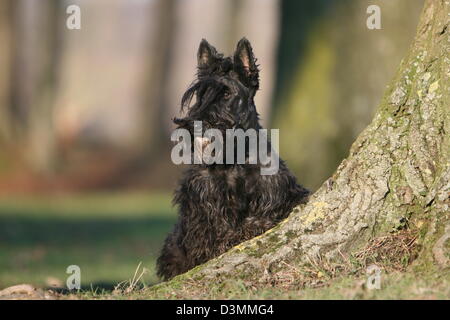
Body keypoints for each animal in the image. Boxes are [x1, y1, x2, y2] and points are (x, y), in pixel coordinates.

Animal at [156, 38, 308, 280]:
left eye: (226, 94)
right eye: (201, 94)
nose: (193, 124)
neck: (234, 158)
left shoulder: (278, 193)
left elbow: (261, 218)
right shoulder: (202, 208)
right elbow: (211, 234)